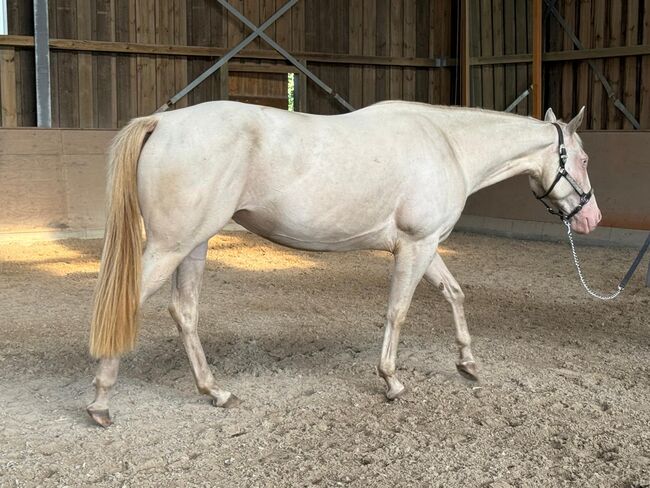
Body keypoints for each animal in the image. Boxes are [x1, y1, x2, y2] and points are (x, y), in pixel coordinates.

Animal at [85, 100, 596, 428]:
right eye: (584, 159)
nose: (590, 217)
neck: (448, 144)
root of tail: (162, 121)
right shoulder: (416, 246)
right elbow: (398, 312)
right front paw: (391, 381)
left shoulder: (427, 246)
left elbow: (454, 293)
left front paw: (467, 363)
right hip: (172, 245)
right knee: (129, 304)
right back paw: (101, 402)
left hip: (193, 245)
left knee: (184, 312)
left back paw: (215, 392)